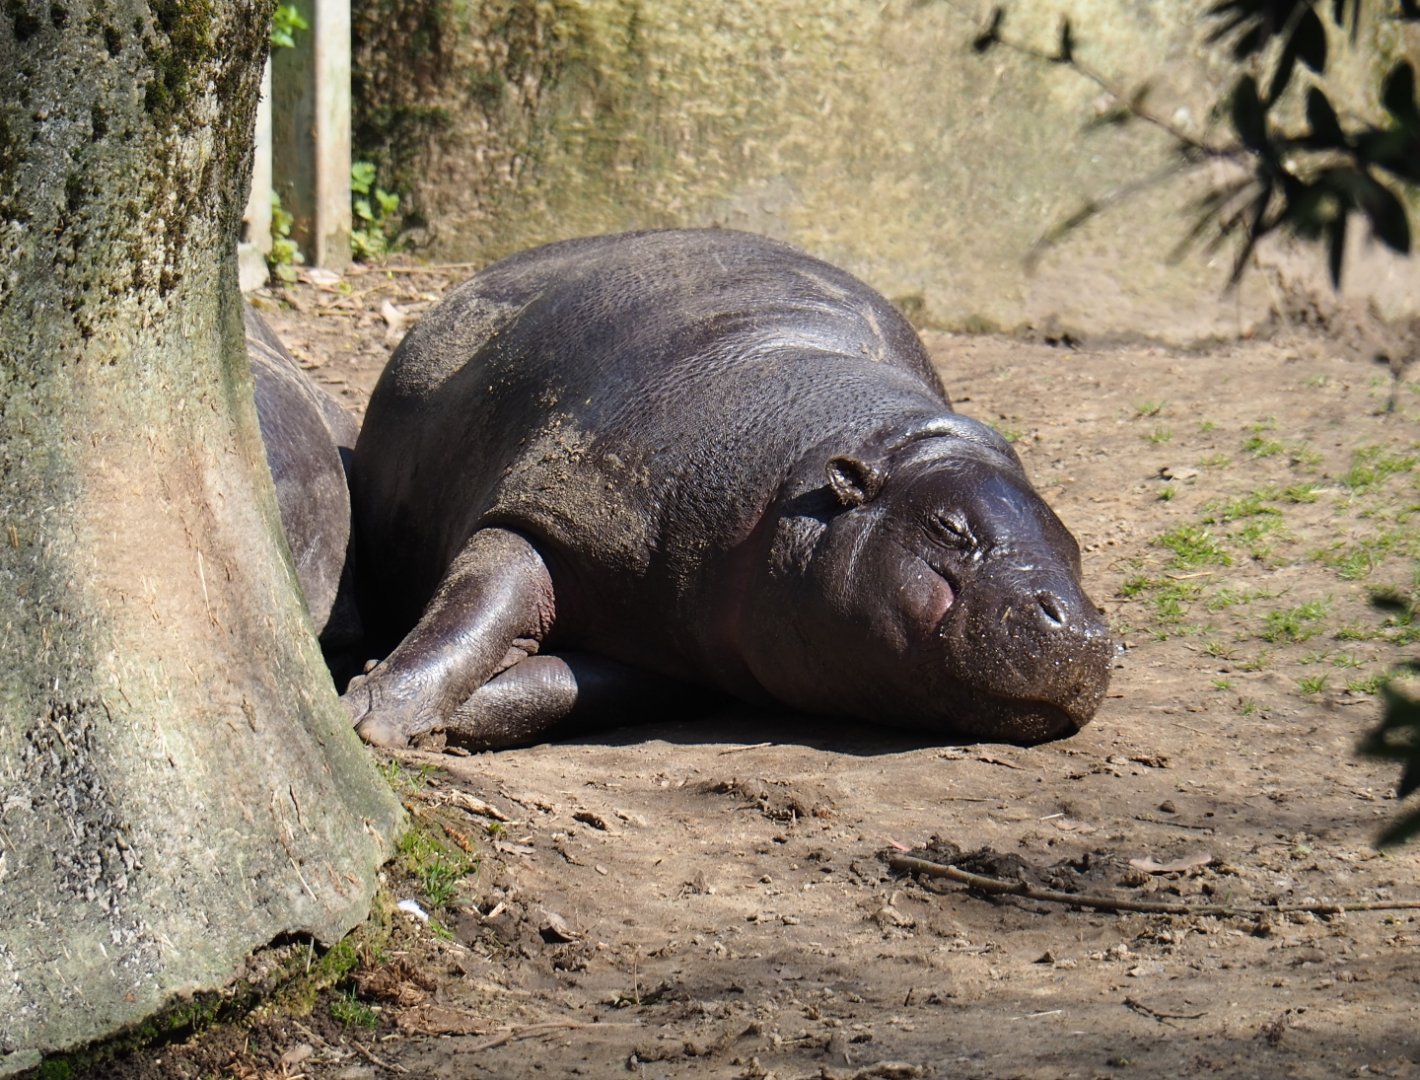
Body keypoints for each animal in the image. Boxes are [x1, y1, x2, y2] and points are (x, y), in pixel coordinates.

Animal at [343, 229, 1112, 750]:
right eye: (949, 529)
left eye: (1075, 549)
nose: (1081, 626)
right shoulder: (550, 510)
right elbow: (473, 607)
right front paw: (371, 717)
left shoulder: (677, 649)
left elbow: (562, 688)